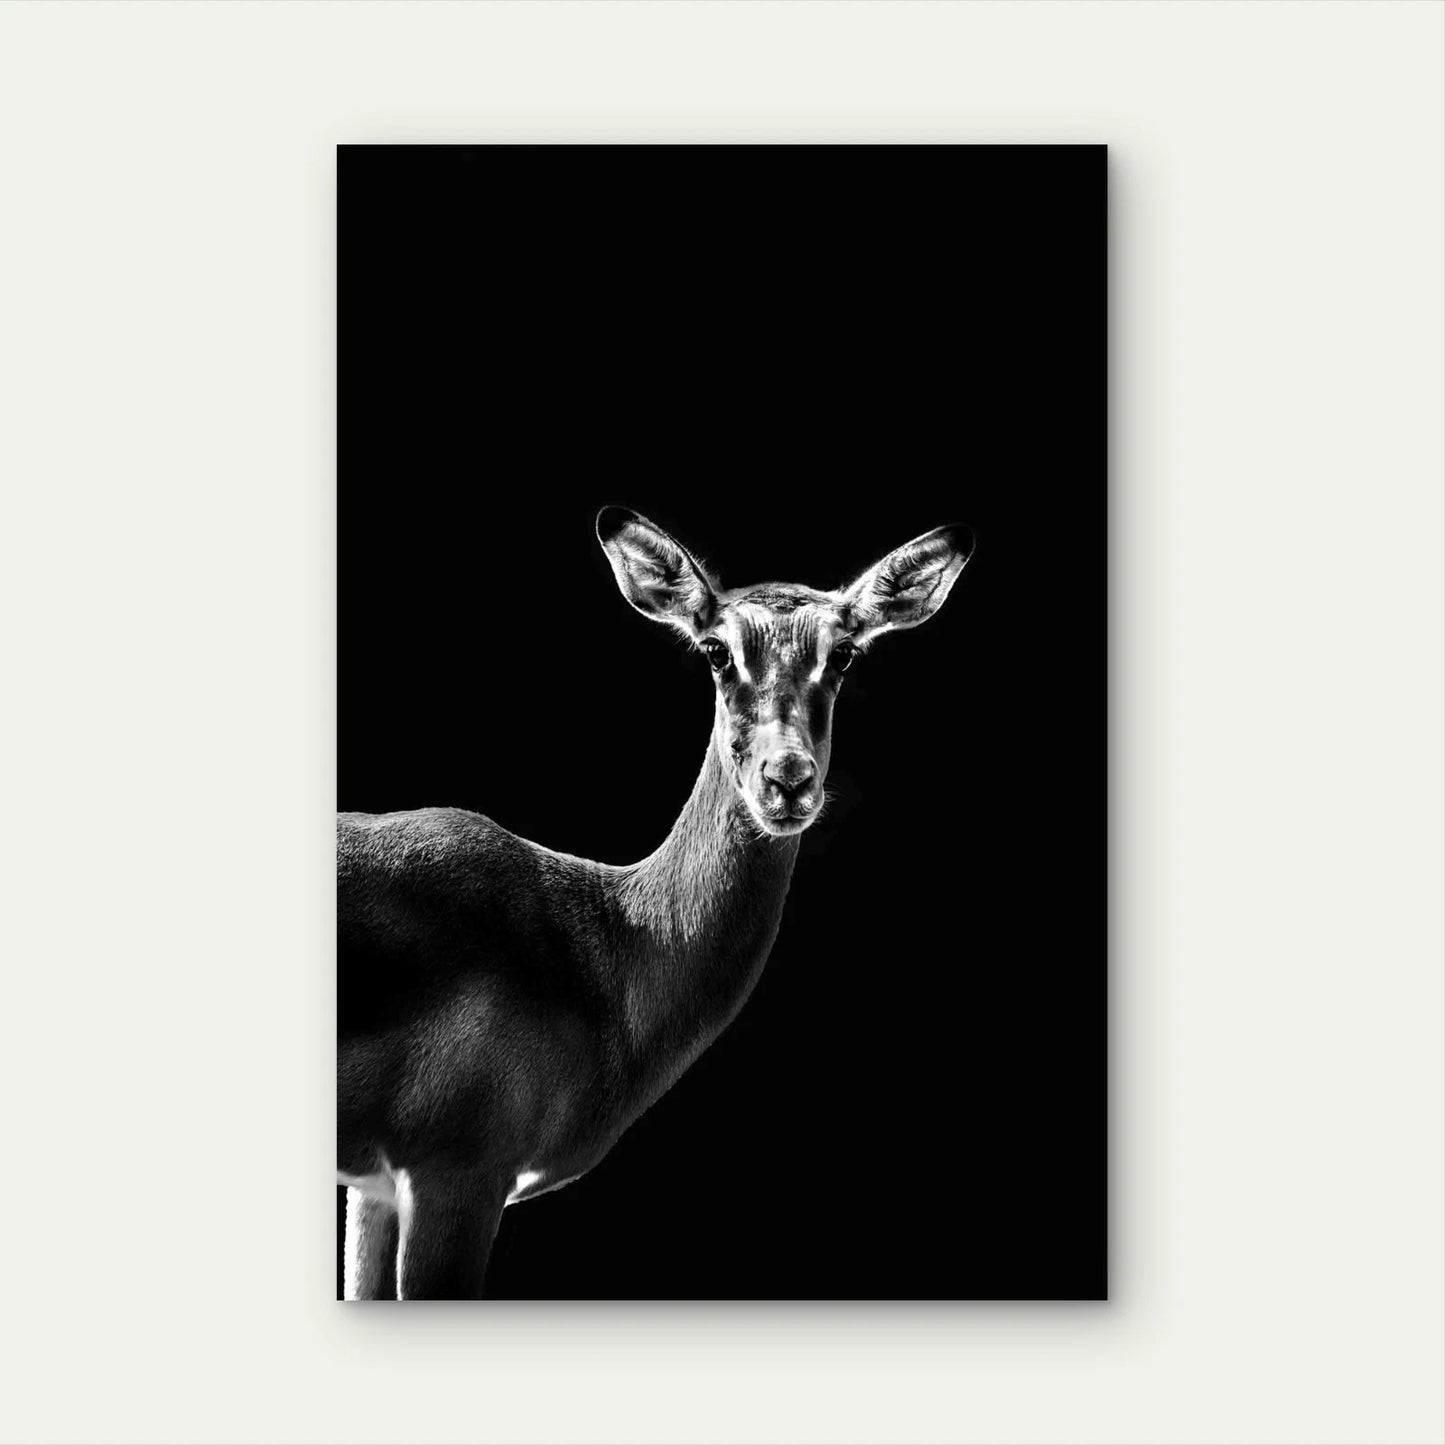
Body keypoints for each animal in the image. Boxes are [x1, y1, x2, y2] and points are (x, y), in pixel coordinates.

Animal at [337, 506, 973, 1299]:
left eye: (846, 652)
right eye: (716, 650)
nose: (788, 779)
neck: (605, 947)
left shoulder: (377, 1189)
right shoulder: (455, 1175)